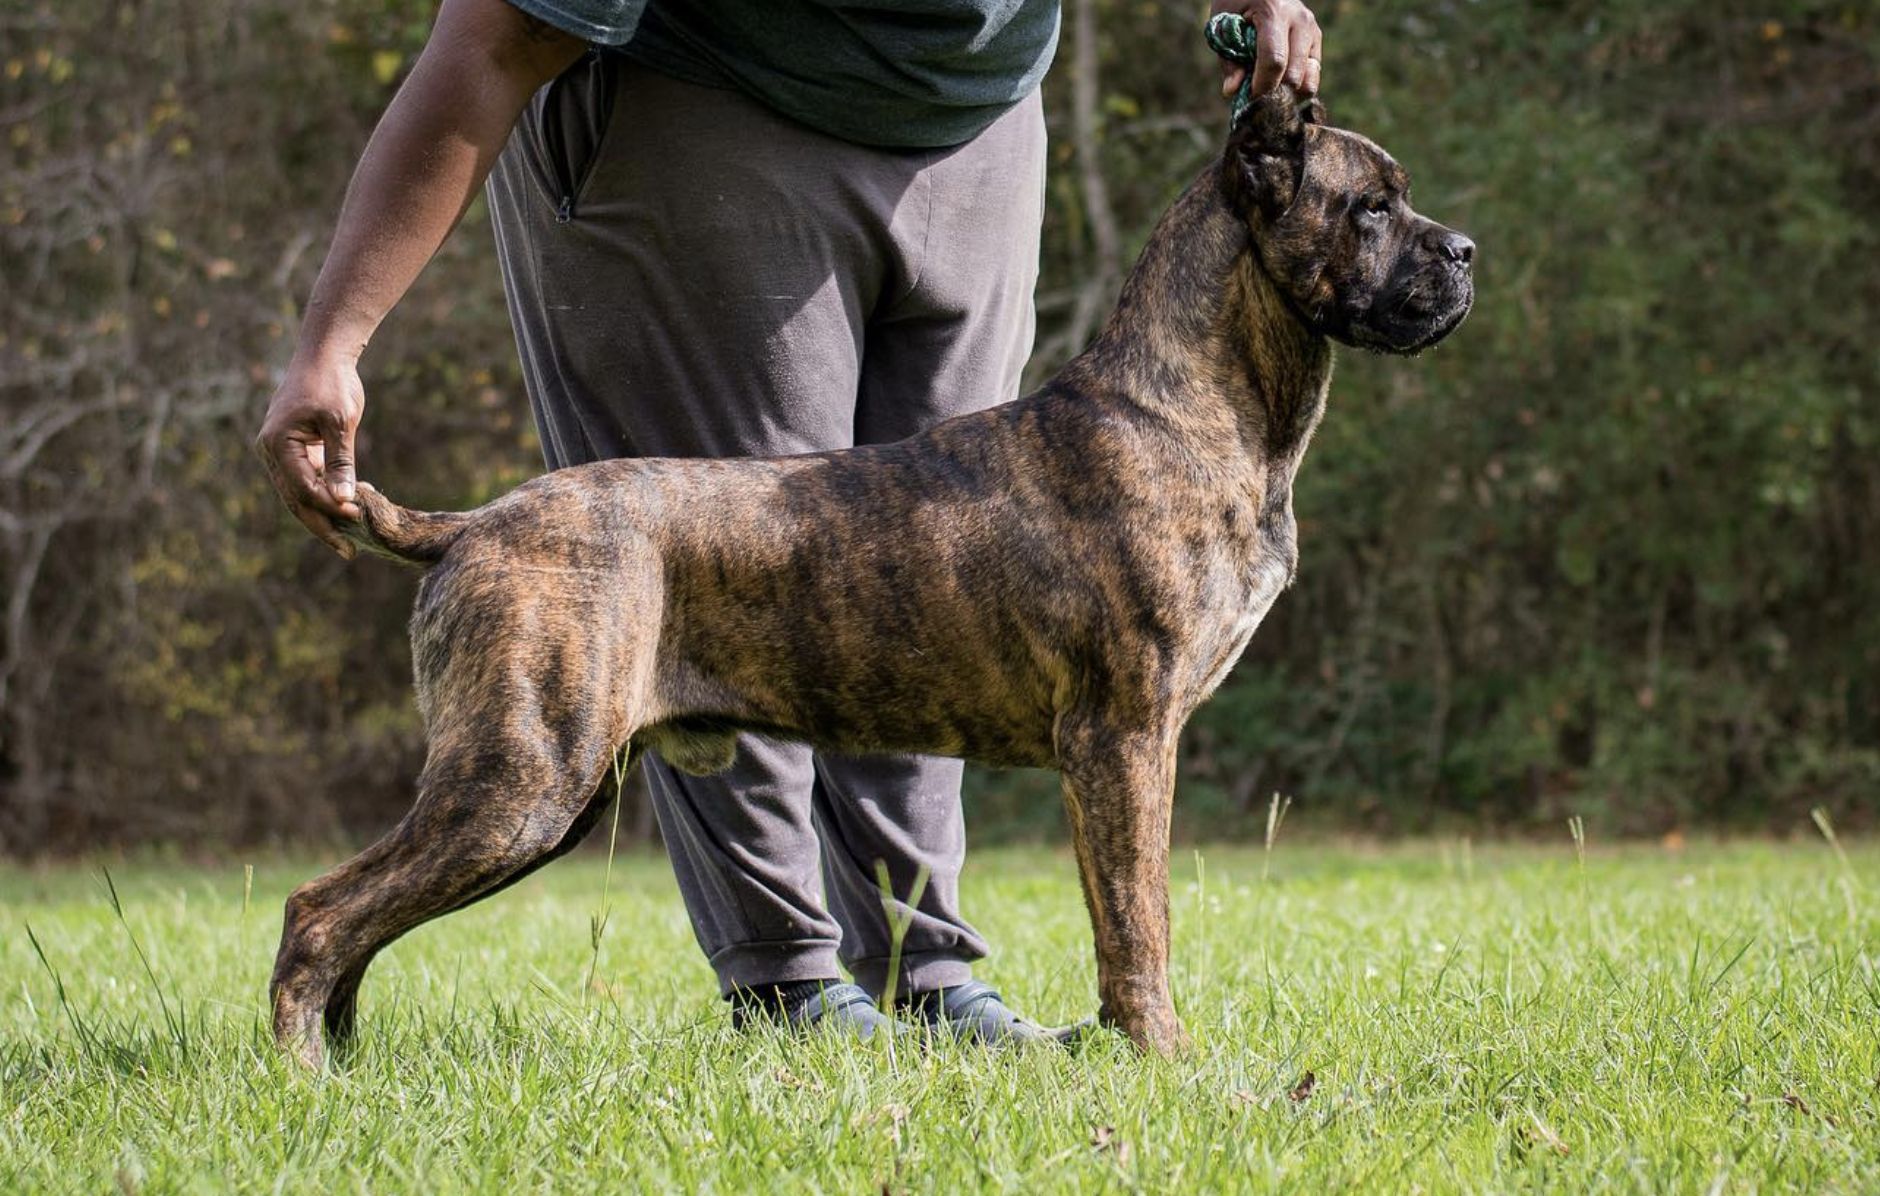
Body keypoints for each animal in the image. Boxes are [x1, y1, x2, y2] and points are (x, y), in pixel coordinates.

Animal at [268, 91, 1466, 1068]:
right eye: (1368, 208)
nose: (1461, 251)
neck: (1194, 404)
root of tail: (472, 524)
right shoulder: (1122, 741)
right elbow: (1138, 923)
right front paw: (1162, 1056)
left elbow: (1127, 919)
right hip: (521, 779)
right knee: (319, 912)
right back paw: (305, 1076)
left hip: (538, 790)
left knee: (356, 925)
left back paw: (344, 1063)